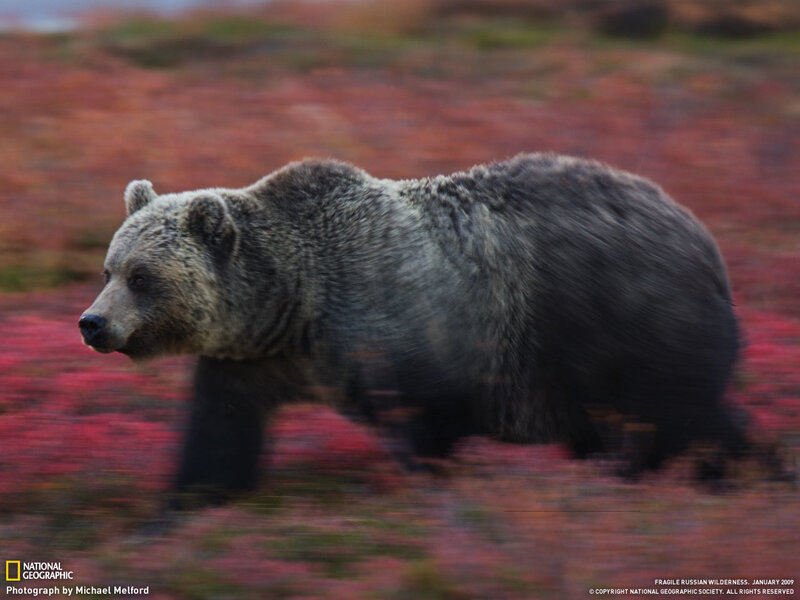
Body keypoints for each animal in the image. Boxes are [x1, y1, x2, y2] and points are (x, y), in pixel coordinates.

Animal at [79, 153, 747, 503]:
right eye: (109, 268)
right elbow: (218, 437)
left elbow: (426, 426)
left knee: (679, 415)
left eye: (142, 276)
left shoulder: (411, 331)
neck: (294, 304)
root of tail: (697, 229)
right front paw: (181, 509)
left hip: (618, 319)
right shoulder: (252, 360)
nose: (92, 322)